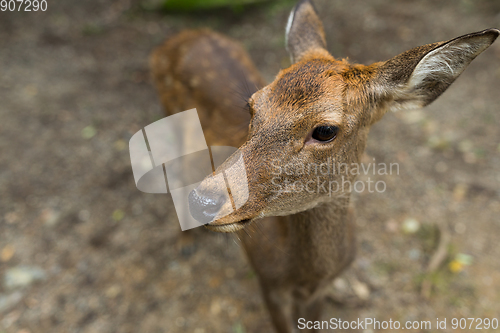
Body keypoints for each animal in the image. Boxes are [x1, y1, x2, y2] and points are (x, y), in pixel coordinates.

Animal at [150, 1, 498, 330]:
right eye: (253, 106)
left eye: (325, 130)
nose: (203, 201)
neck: (304, 275)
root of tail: (179, 36)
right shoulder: (268, 282)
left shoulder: (318, 292)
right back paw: (184, 243)